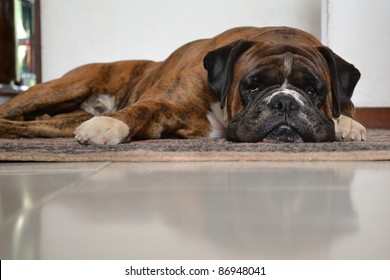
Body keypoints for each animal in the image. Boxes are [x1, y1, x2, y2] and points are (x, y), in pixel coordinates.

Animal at [0, 26, 366, 144]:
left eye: (314, 91)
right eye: (252, 86)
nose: (285, 101)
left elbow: (345, 107)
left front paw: (347, 124)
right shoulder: (161, 107)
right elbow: (139, 110)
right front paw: (109, 125)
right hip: (64, 88)